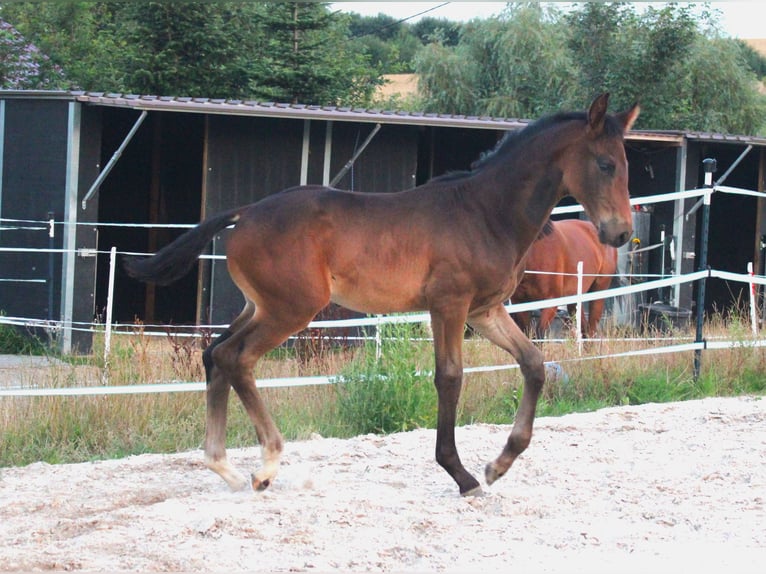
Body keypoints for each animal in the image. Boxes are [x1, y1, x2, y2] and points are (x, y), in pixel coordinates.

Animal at [126, 94, 640, 500]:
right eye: (606, 164)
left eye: (627, 166)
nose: (619, 233)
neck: (484, 212)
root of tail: (246, 212)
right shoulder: (449, 306)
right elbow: (449, 378)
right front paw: (463, 475)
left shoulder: (486, 310)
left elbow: (533, 365)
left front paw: (499, 464)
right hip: (291, 310)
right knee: (236, 357)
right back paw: (265, 466)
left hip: (261, 306)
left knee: (215, 354)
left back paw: (228, 469)